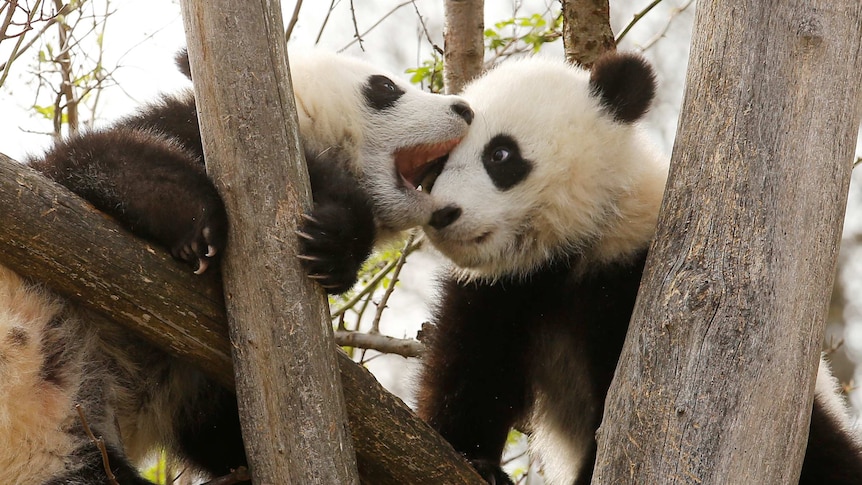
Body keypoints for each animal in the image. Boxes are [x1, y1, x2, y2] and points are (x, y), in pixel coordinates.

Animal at [0, 51, 472, 482]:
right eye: (385, 87)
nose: (465, 109)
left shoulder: (202, 392)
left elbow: (225, 437)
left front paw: (331, 248)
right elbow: (99, 159)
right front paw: (197, 226)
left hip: (72, 449)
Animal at [416, 51, 862, 482]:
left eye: (500, 154)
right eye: (435, 163)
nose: (443, 214)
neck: (570, 248)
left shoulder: (632, 273)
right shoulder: (498, 289)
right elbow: (472, 373)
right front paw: (478, 462)